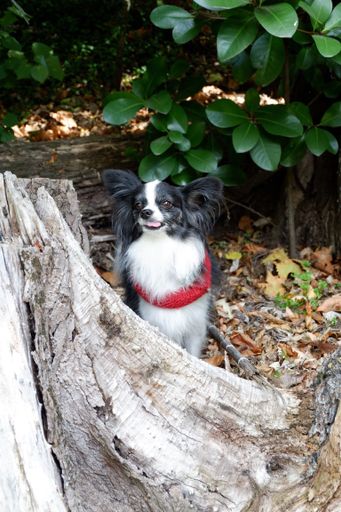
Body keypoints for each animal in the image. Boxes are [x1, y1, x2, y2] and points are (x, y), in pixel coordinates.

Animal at [102, 170, 224, 358]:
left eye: (166, 203)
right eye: (138, 205)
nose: (145, 212)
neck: (160, 244)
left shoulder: (195, 322)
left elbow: (192, 353)